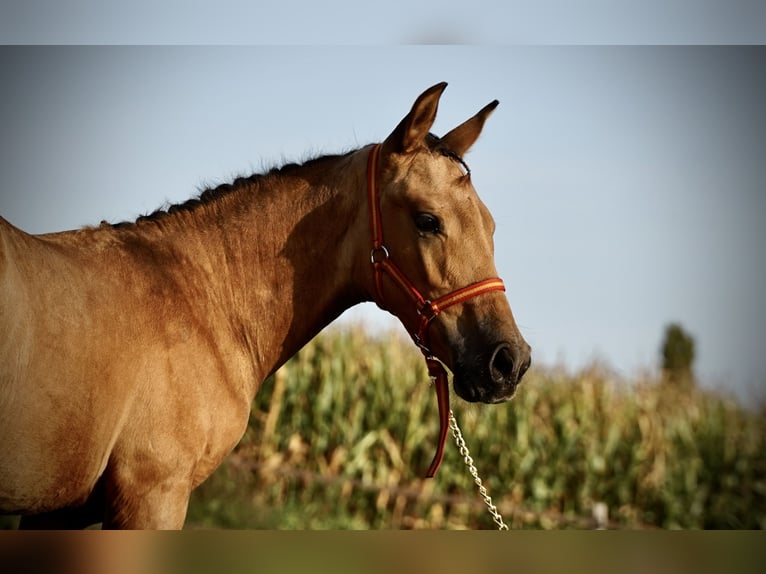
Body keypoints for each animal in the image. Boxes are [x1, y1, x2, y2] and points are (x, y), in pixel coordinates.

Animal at [0, 82, 532, 532]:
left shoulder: (60, 513)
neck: (201, 299)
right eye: (427, 220)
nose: (509, 362)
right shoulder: (152, 495)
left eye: (490, 225)